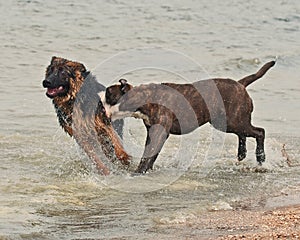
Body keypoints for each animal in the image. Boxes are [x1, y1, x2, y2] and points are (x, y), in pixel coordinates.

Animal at [101, 59, 276, 172]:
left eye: (109, 95)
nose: (99, 101)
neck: (145, 98)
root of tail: (240, 84)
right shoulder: (152, 133)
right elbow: (151, 155)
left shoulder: (158, 134)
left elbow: (148, 156)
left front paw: (138, 172)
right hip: (227, 122)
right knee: (243, 134)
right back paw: (241, 153)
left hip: (233, 121)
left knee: (259, 132)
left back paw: (260, 157)